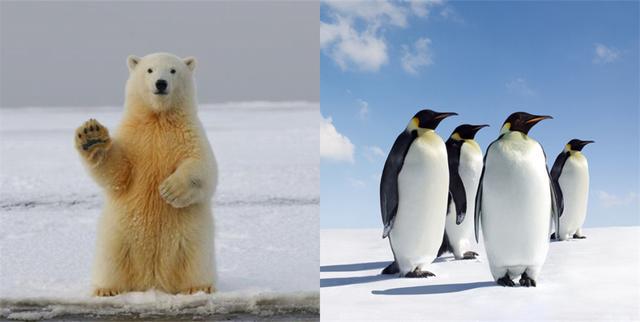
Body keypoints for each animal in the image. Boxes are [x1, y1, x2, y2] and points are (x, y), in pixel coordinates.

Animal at [75, 52, 218, 296]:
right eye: (149, 70)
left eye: (173, 70)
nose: (161, 83)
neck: (158, 118)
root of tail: (152, 280)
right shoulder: (134, 139)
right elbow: (118, 172)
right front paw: (92, 136)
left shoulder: (189, 135)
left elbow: (203, 167)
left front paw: (170, 190)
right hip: (117, 236)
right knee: (110, 260)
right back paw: (106, 289)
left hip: (193, 237)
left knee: (196, 260)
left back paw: (198, 287)